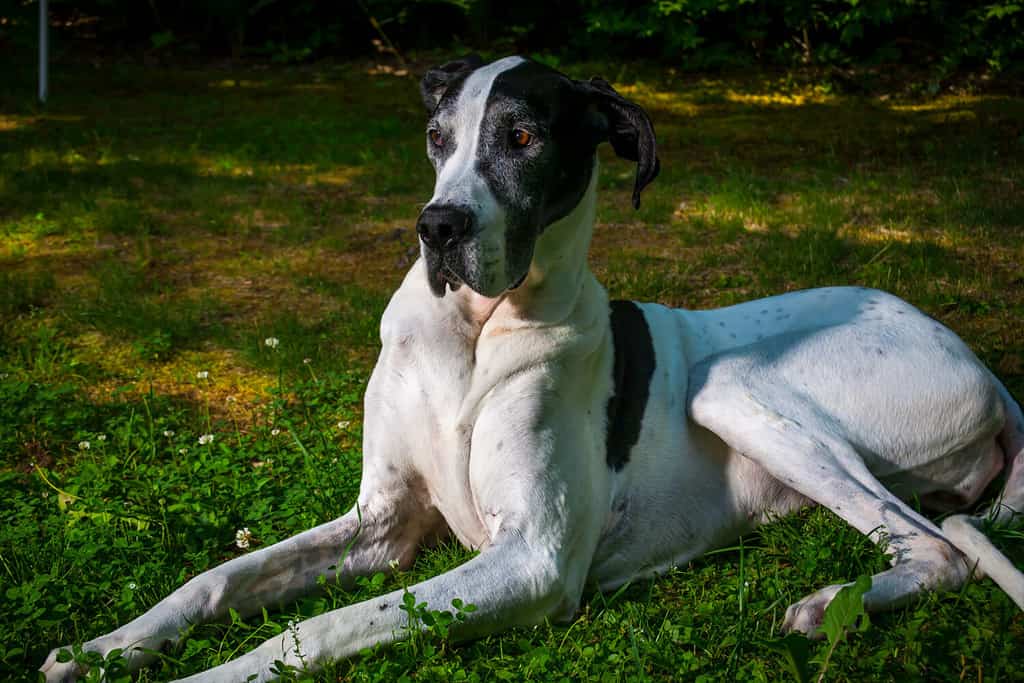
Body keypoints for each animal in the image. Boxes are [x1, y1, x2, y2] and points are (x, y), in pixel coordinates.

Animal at [41, 54, 1024, 683]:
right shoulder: (381, 524)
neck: (471, 333)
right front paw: (106, 647)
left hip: (734, 388)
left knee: (940, 549)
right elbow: (219, 576)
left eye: (521, 137)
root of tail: (986, 367)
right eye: (436, 136)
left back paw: (828, 605)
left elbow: (320, 628)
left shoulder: (532, 559)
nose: (438, 227)